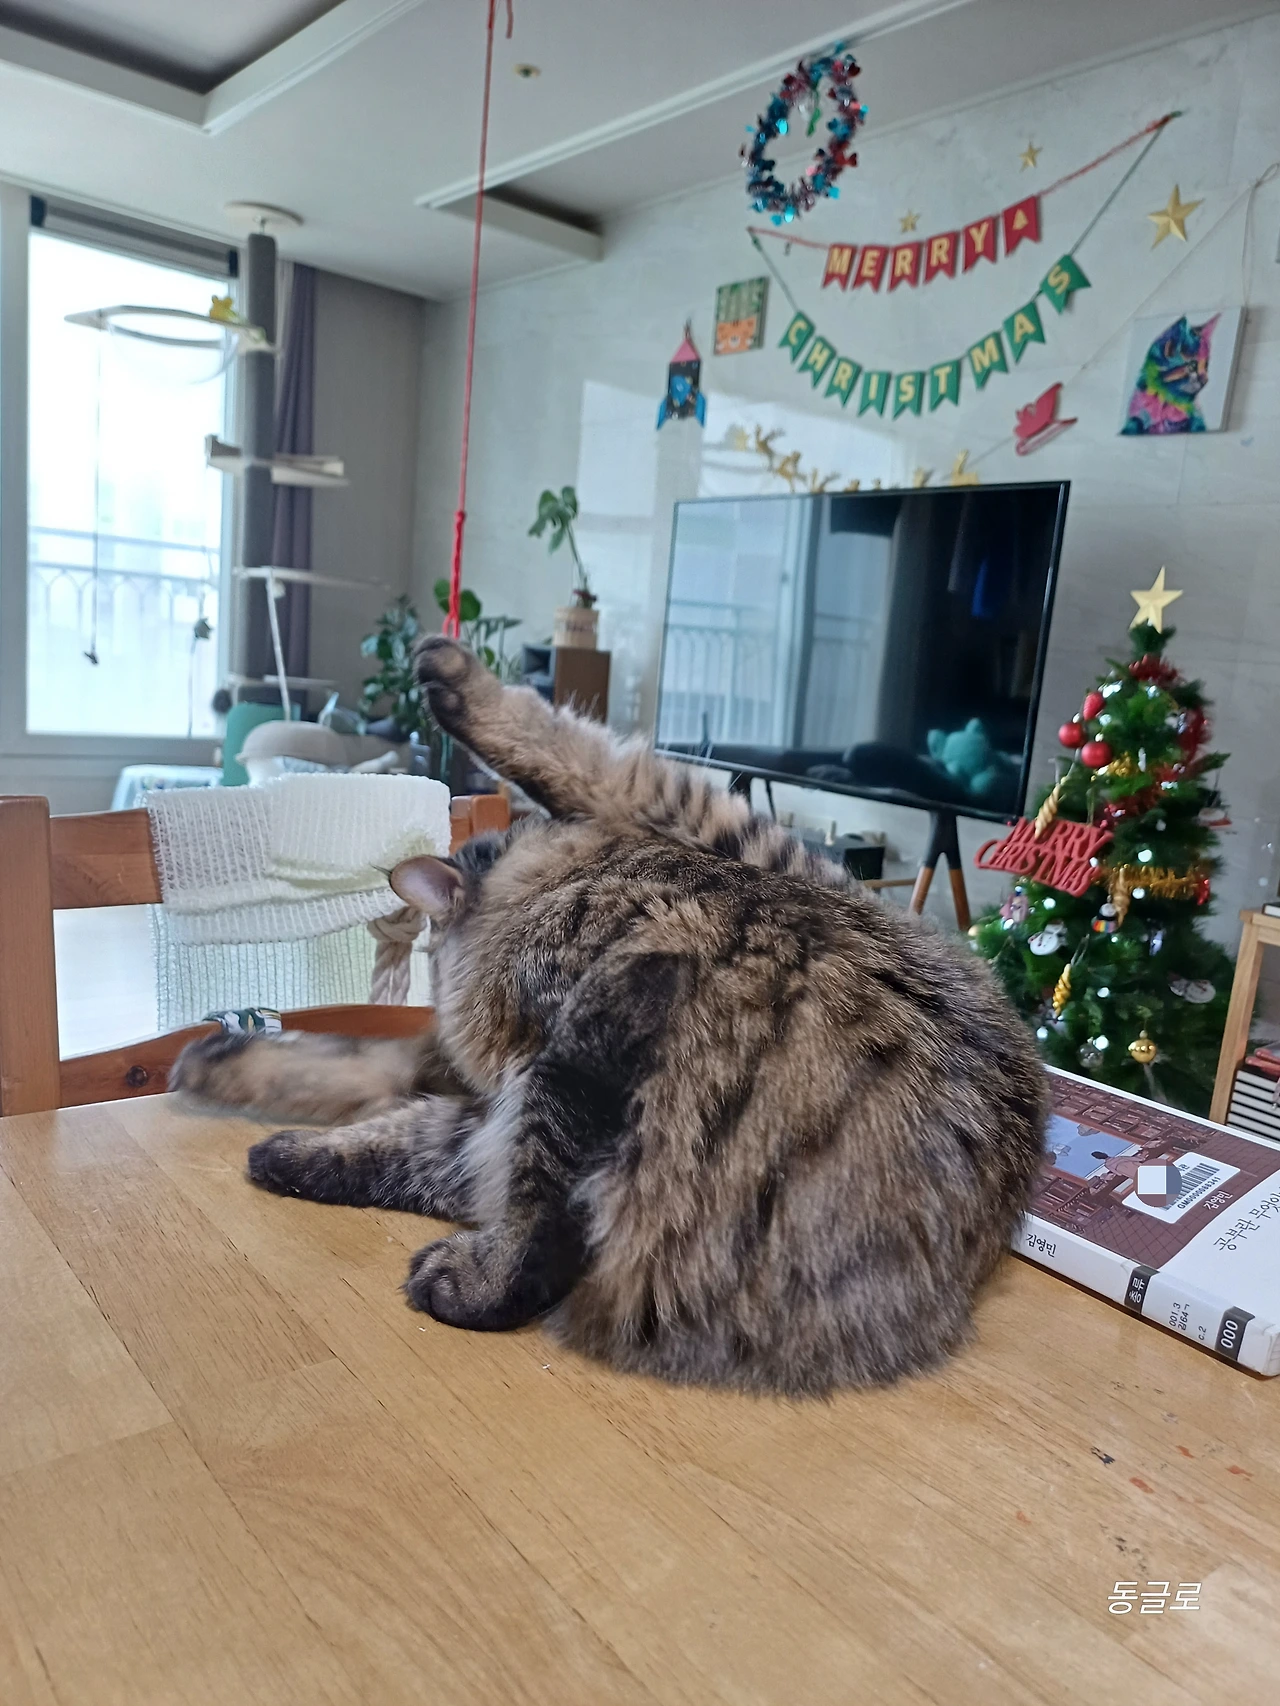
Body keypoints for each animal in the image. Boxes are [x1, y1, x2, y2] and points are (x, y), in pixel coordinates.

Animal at [172, 637, 1047, 1396]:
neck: (553, 880)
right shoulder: (488, 1110)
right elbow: (381, 1128)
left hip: (672, 919)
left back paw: (444, 667)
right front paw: (272, 1136)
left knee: (595, 760)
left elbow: (482, 1180)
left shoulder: (556, 1053)